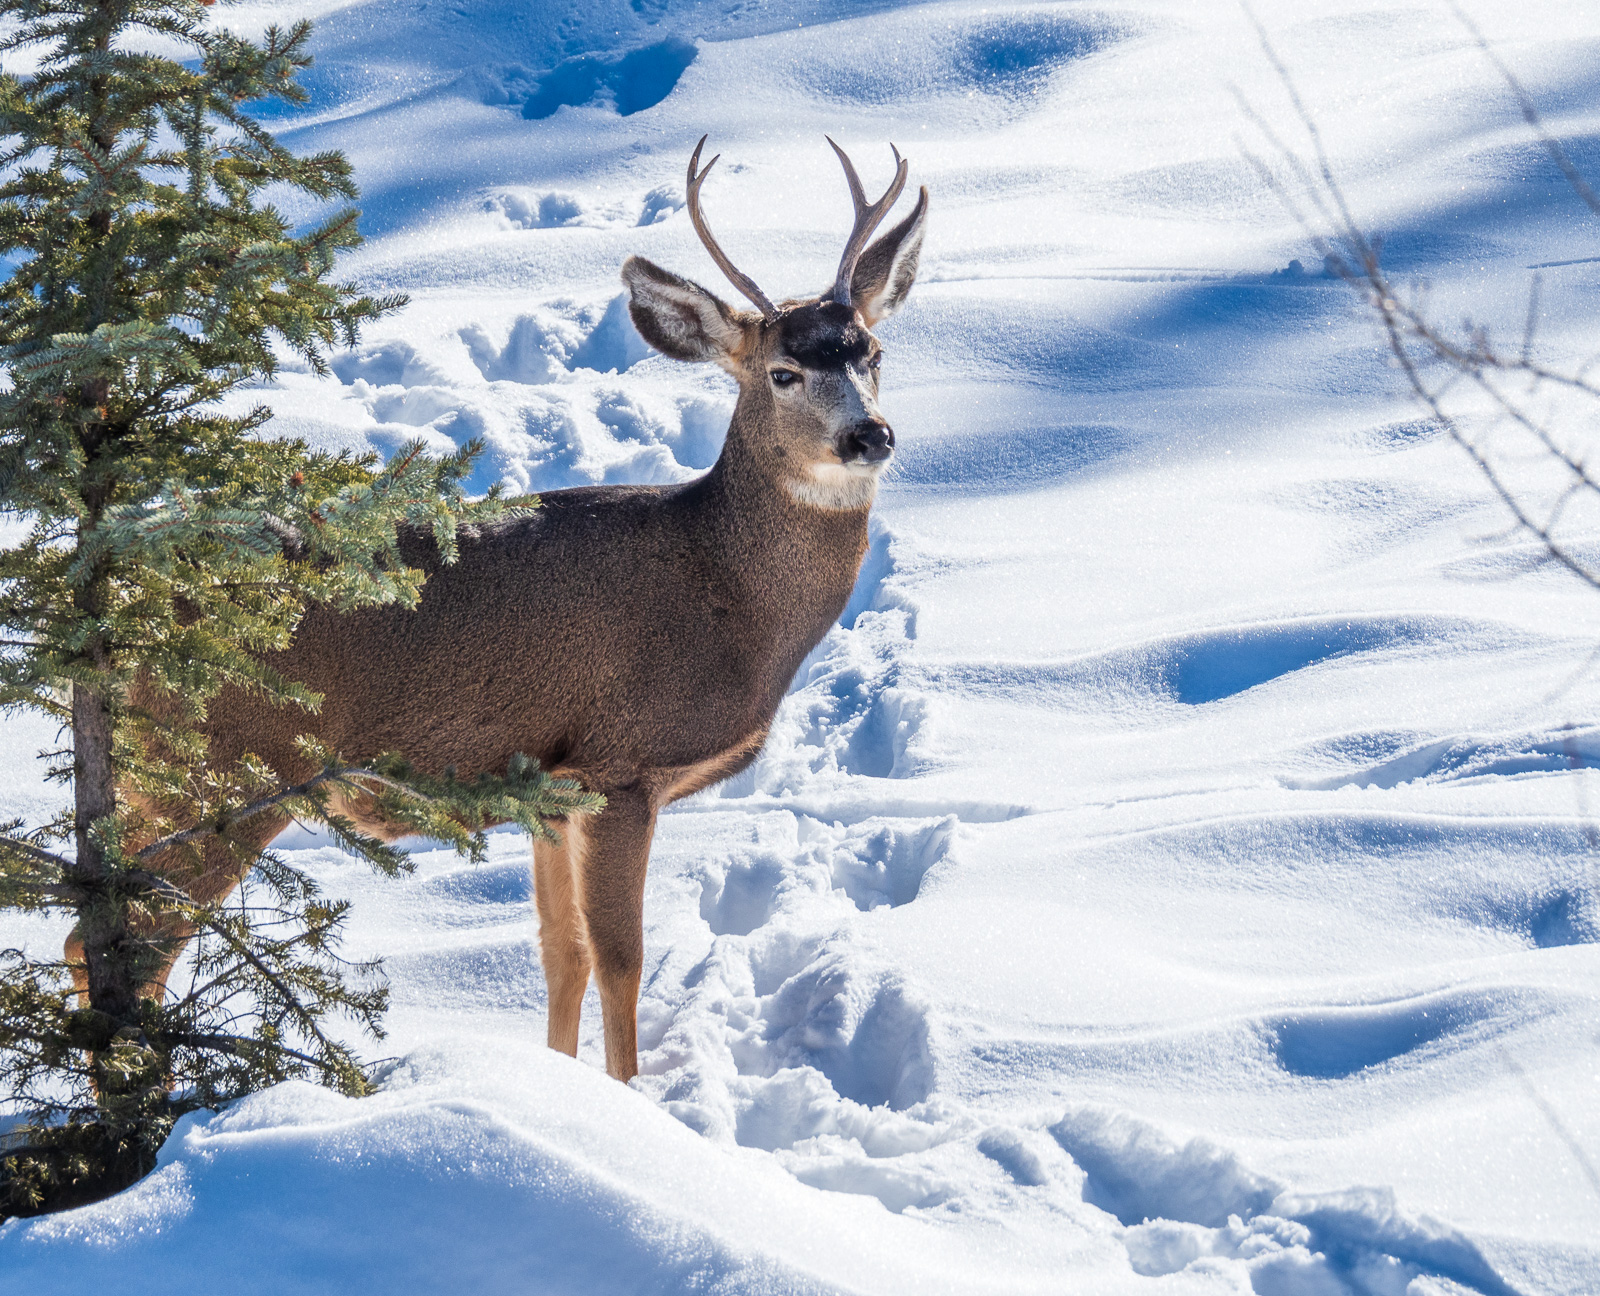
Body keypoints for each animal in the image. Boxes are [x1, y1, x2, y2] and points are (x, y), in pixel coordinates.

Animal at [83, 137, 928, 1084]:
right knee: (136, 949)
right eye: (783, 371)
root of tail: (128, 610)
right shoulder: (619, 765)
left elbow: (562, 953)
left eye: (872, 351)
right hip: (227, 767)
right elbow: (621, 958)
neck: (723, 594)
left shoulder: (548, 790)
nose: (869, 435)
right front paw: (628, 1100)